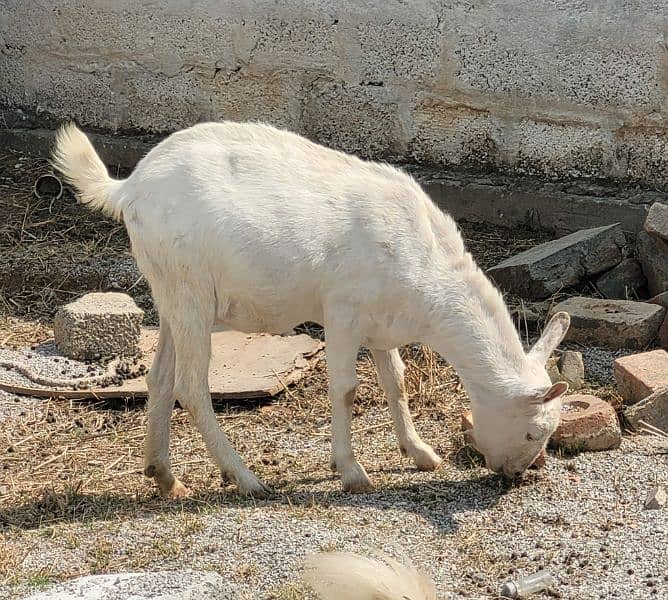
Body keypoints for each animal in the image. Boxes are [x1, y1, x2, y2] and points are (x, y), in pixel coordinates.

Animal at [52, 120, 568, 496]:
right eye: (532, 433)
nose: (514, 475)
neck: (428, 271)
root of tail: (129, 187)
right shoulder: (342, 311)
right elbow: (345, 388)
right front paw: (352, 472)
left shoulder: (381, 323)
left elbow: (396, 382)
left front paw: (420, 453)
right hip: (190, 289)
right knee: (191, 386)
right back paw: (246, 479)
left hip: (171, 293)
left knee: (160, 377)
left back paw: (165, 477)